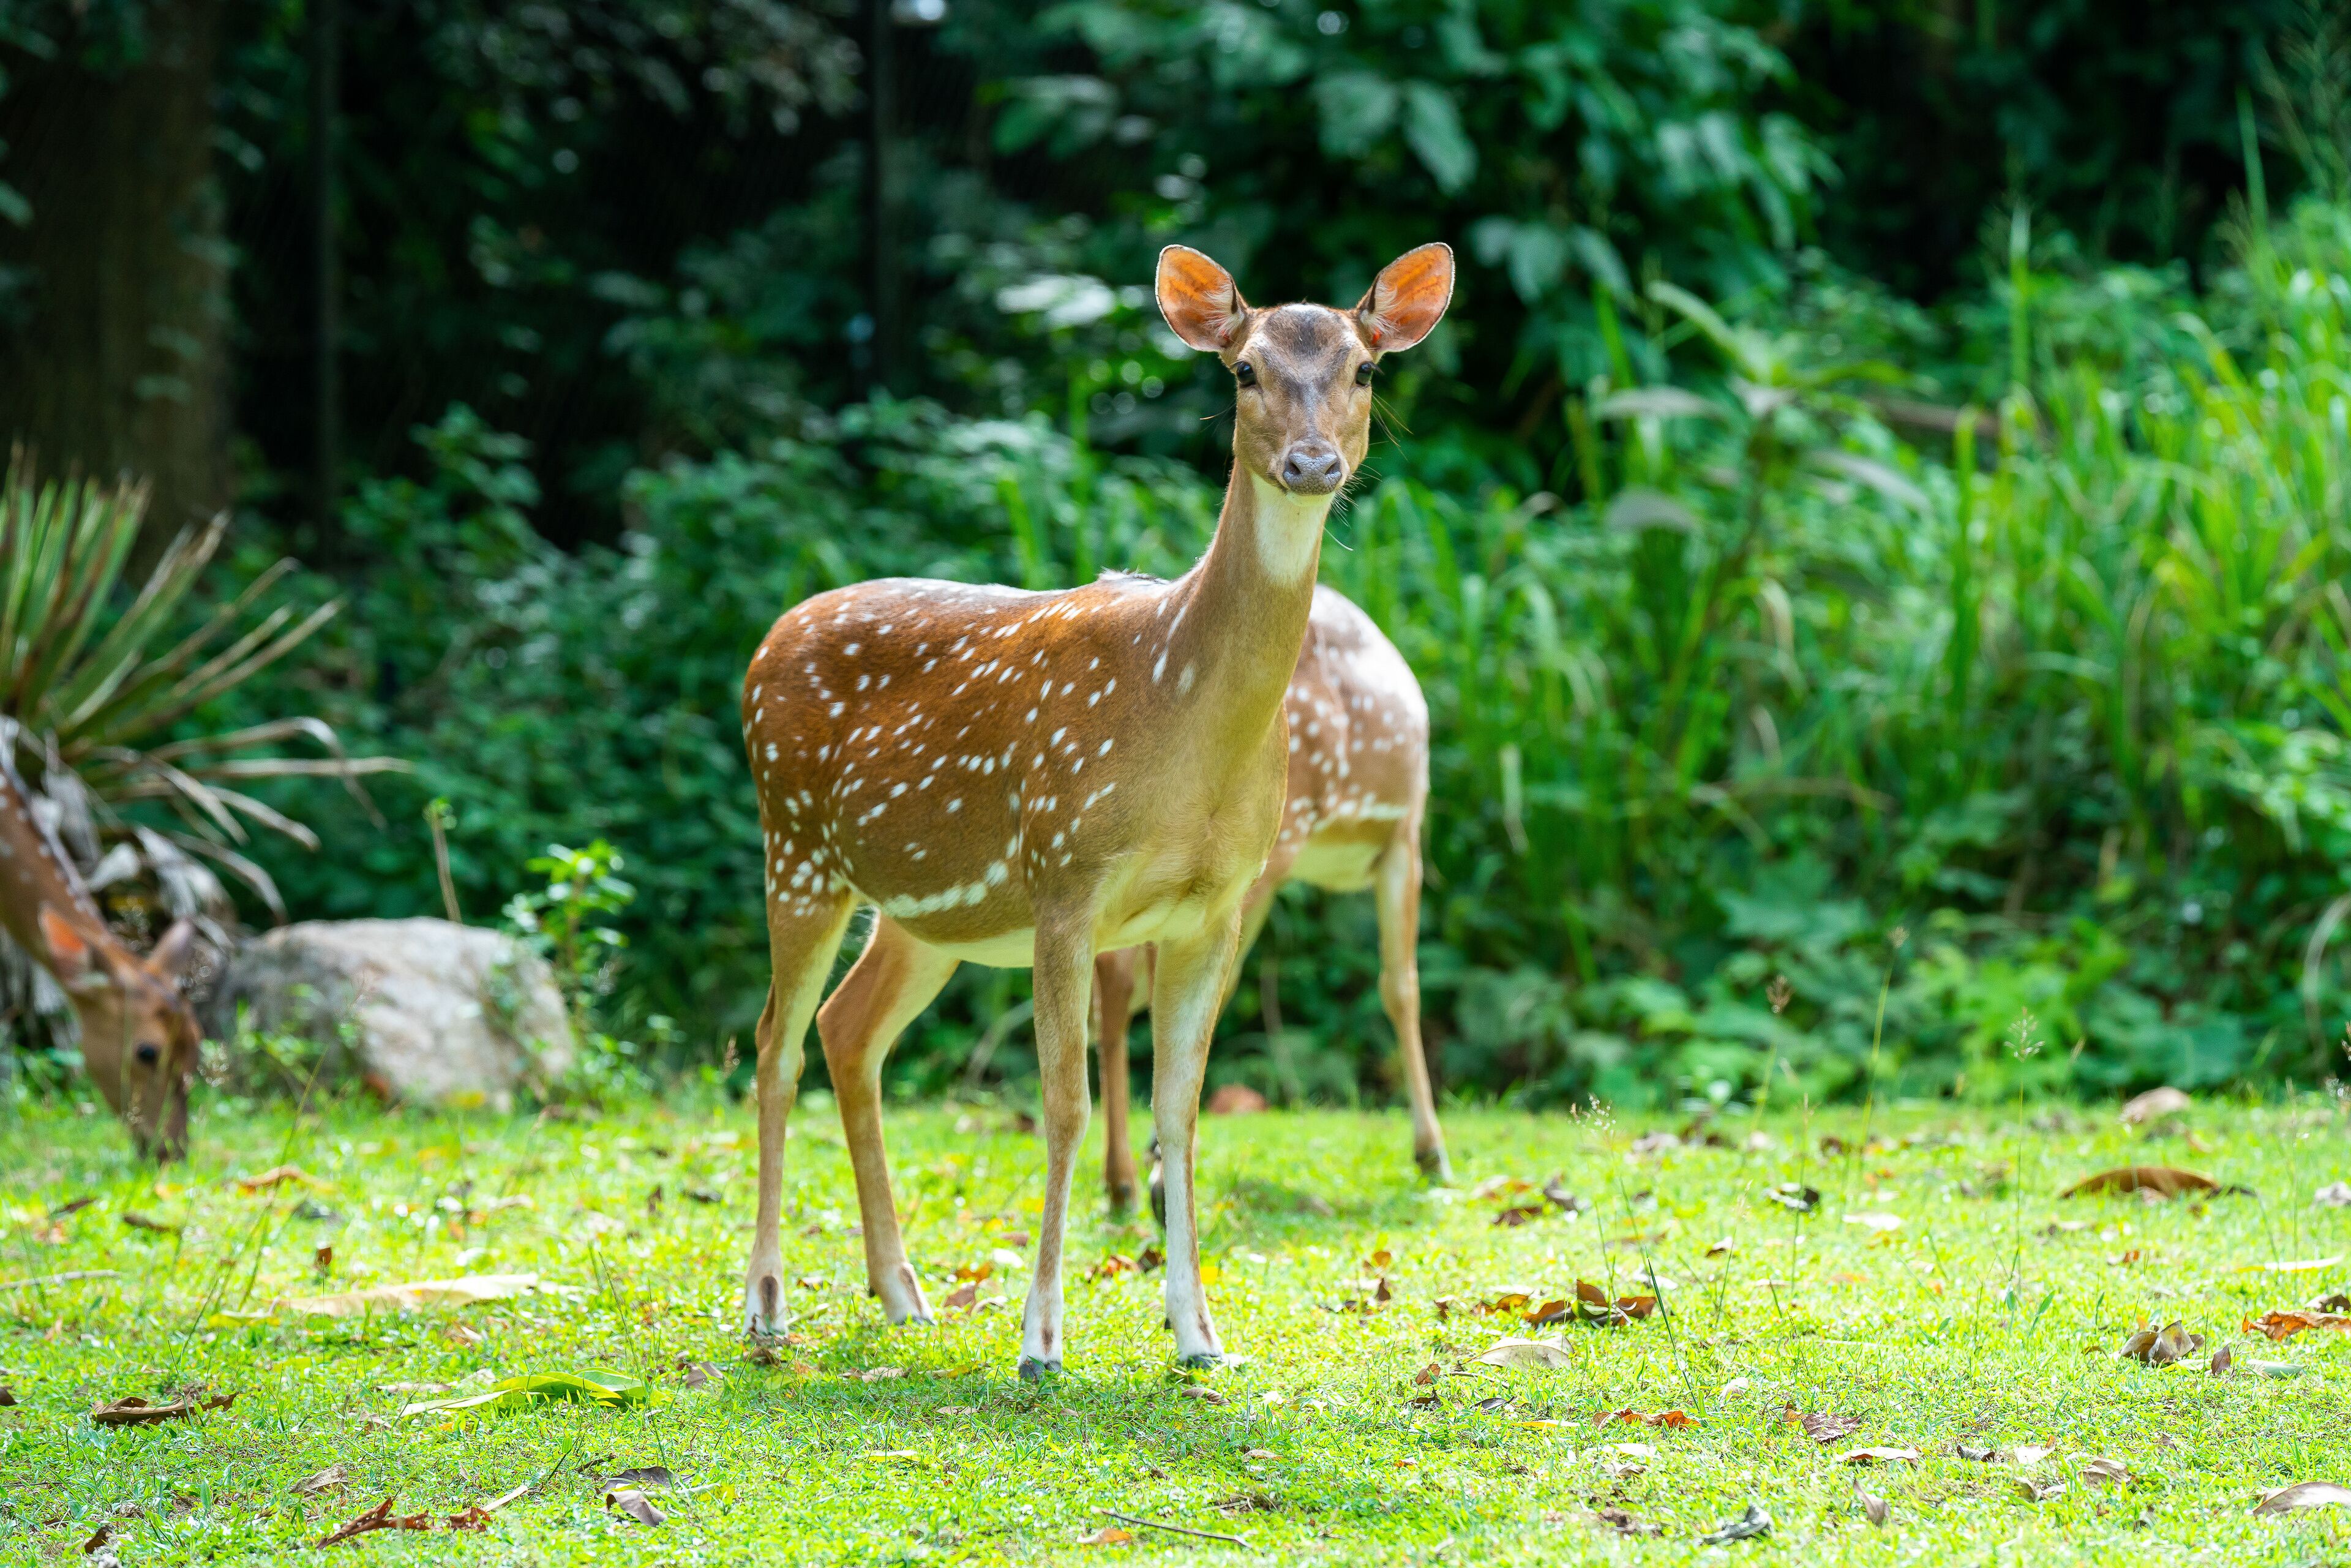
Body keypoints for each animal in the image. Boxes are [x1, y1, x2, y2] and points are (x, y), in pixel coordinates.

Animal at [1090, 585, 1451, 1215]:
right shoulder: (1404, 836)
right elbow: (1402, 985)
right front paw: (1431, 1152)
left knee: (1118, 972)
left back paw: (1124, 1182)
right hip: (1274, 838)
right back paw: (1144, 1178)